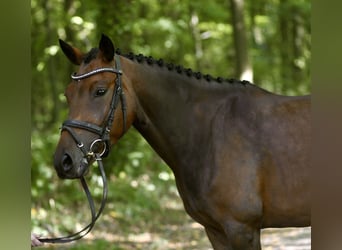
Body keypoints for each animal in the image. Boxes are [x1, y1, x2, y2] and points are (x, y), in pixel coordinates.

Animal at [53, 35, 310, 250]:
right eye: (67, 94)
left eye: (99, 90)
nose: (64, 160)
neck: (209, 133)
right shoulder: (216, 231)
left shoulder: (242, 229)